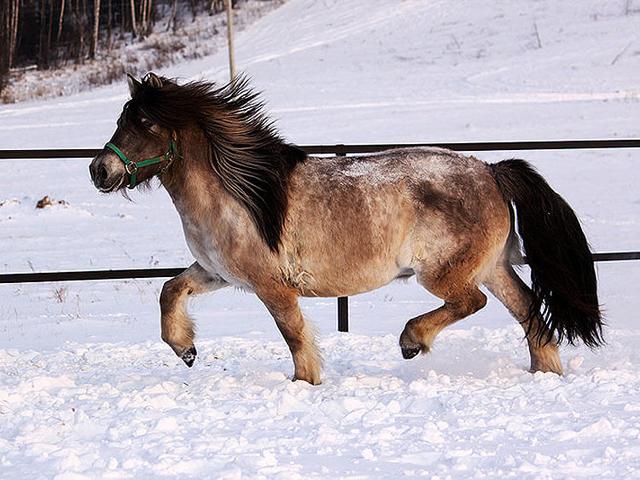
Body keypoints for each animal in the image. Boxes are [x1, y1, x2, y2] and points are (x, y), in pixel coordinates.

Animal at [89, 73, 603, 384]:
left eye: (144, 122)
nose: (99, 171)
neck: (240, 193)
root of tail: (492, 171)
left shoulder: (270, 284)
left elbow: (294, 334)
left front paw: (305, 382)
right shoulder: (216, 272)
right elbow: (169, 291)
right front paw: (187, 350)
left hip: (445, 271)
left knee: (470, 302)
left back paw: (411, 341)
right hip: (493, 265)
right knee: (529, 309)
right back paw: (545, 374)